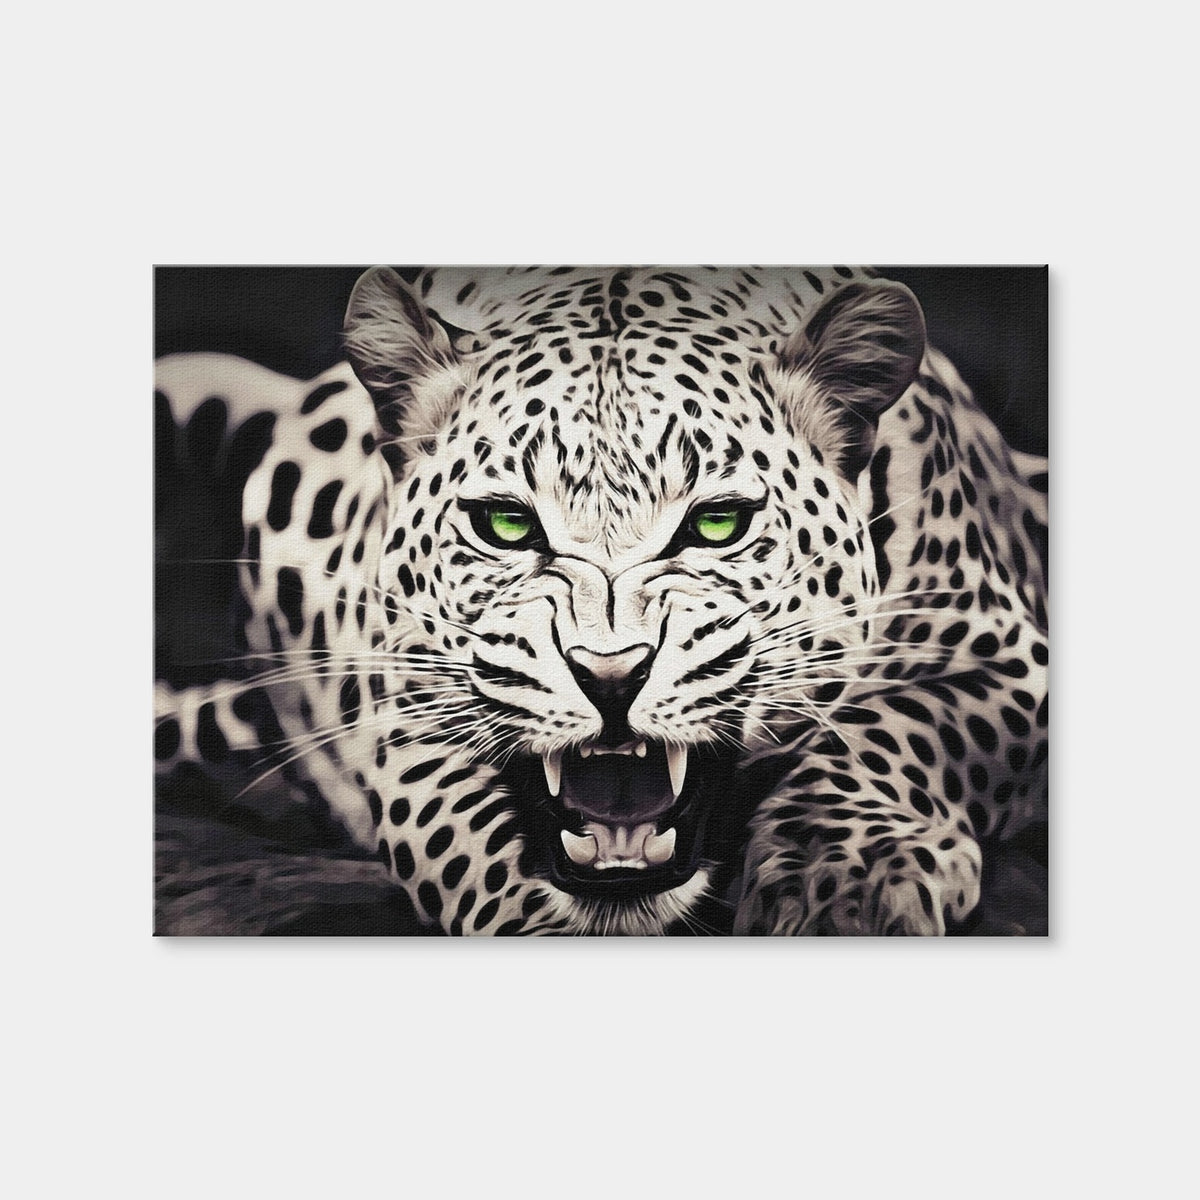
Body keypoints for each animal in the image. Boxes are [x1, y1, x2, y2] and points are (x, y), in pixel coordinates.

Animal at [155, 265, 1048, 935]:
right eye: (507, 524)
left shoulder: (1009, 661)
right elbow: (469, 842)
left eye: (716, 523)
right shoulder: (409, 723)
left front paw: (845, 880)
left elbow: (894, 728)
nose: (610, 676)